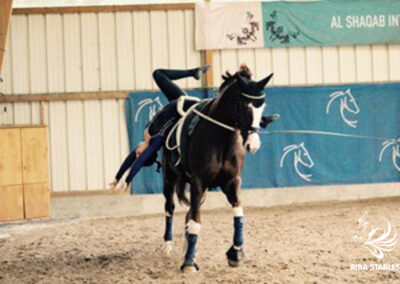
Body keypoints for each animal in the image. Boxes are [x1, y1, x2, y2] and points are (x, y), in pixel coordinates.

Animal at [161, 66, 274, 272]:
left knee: (189, 213)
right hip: (170, 178)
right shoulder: (198, 182)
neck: (222, 138)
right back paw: (168, 245)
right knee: (170, 208)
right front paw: (189, 263)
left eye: (262, 107)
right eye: (244, 105)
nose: (253, 145)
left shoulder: (232, 181)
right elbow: (196, 222)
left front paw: (236, 253)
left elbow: (238, 215)